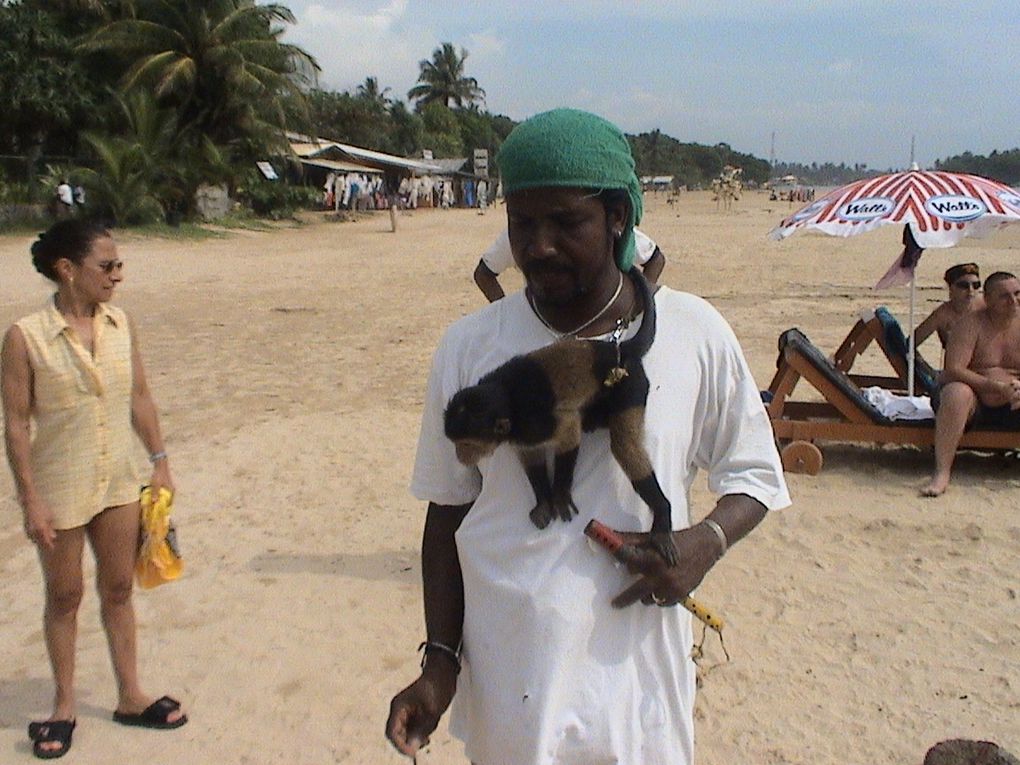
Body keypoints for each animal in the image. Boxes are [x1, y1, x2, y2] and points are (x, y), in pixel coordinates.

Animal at [444, 267, 677, 567]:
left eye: (466, 444)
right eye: (456, 444)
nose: (460, 456)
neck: (506, 397)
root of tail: (615, 351)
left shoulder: (536, 420)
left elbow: (569, 431)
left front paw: (560, 493)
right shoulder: (522, 431)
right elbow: (531, 455)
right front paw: (544, 500)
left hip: (631, 382)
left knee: (624, 443)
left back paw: (662, 511)